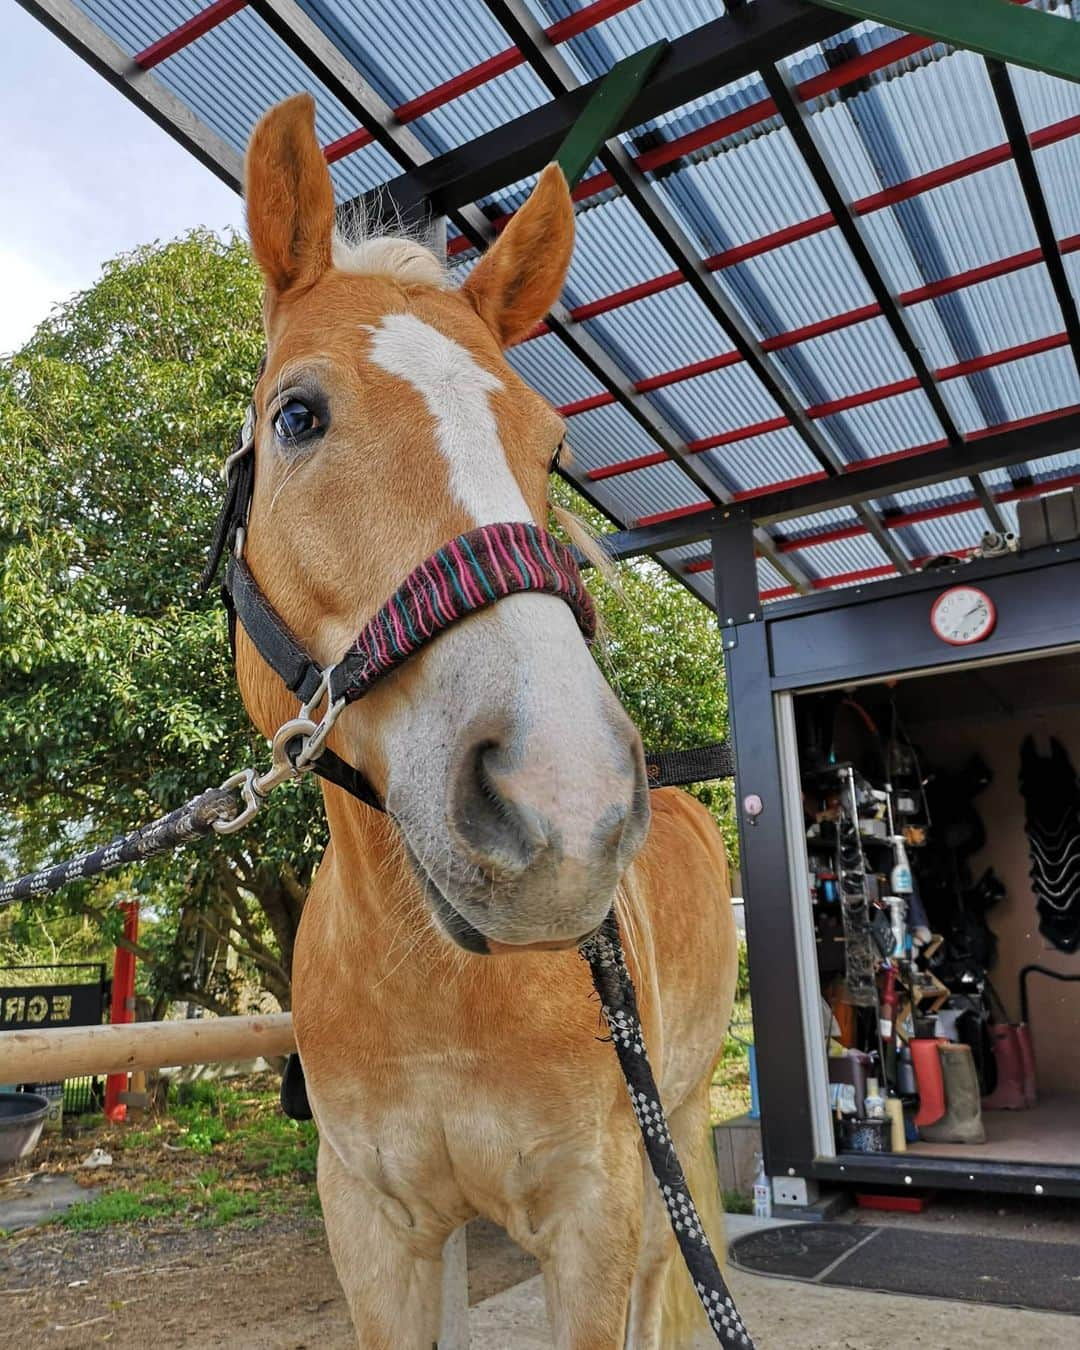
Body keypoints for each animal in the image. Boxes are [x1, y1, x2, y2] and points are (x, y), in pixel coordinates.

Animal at [236, 95, 739, 1350]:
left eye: (553, 449)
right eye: (298, 415)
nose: (563, 804)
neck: (427, 982)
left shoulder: (599, 1211)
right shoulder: (375, 1225)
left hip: (678, 1121)